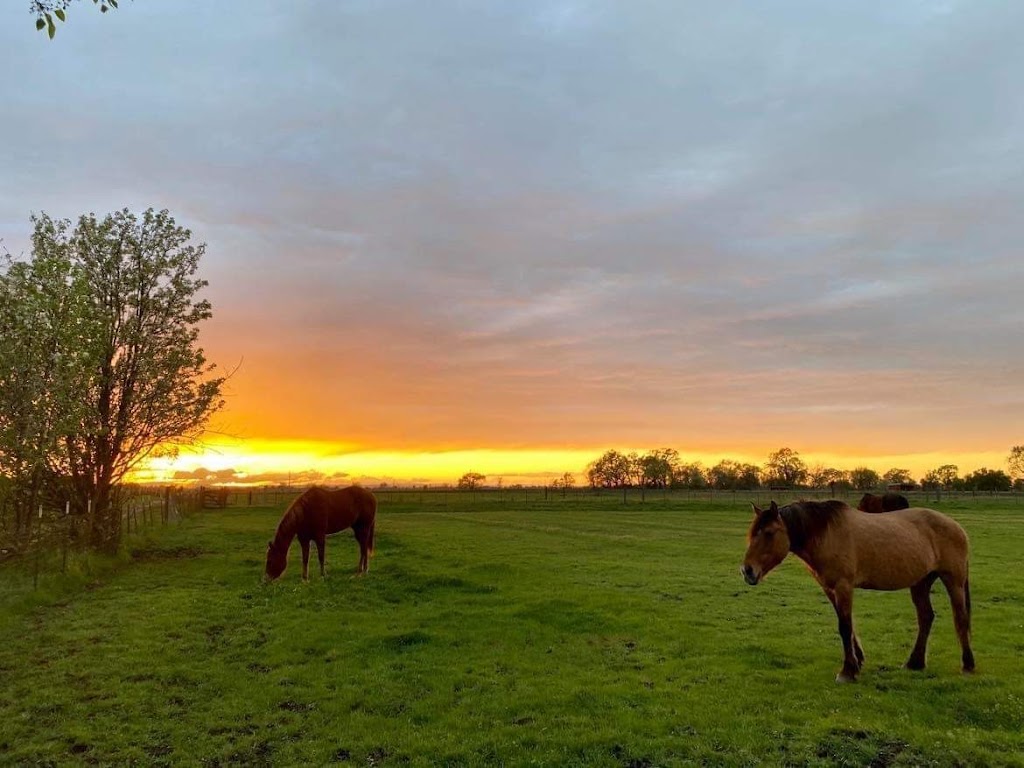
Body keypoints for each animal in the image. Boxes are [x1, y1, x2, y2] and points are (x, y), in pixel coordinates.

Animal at [741, 501, 970, 684]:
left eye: (769, 533)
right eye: (752, 534)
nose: (747, 571)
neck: (827, 534)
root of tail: (956, 527)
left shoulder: (844, 586)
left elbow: (844, 627)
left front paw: (847, 671)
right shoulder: (830, 589)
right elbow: (848, 625)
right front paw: (857, 662)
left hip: (953, 581)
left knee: (960, 618)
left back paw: (967, 664)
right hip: (921, 583)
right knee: (926, 617)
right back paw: (915, 663)